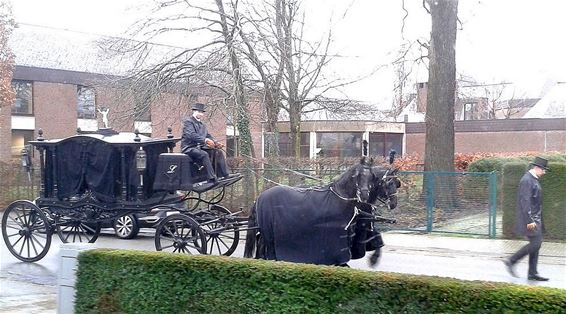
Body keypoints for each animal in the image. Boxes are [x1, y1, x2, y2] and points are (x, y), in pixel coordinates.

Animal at [245, 157, 400, 264]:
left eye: (370, 177)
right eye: (389, 182)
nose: (393, 203)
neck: (342, 197)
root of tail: (260, 197)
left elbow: (375, 236)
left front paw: (374, 258)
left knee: (261, 244)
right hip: (269, 234)